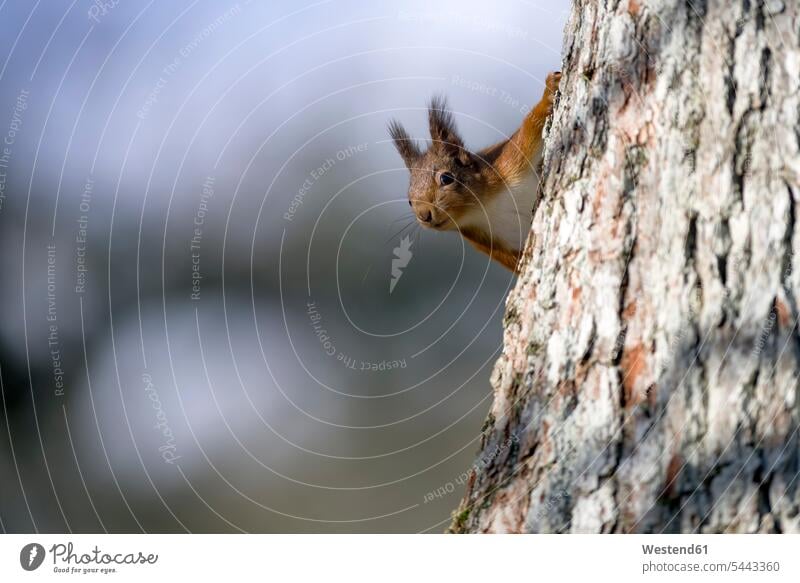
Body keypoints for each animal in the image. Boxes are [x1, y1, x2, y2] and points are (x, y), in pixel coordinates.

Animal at [390, 72, 560, 272]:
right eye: (409, 200)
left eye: (446, 178)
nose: (424, 215)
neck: (482, 208)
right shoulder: (487, 242)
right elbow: (517, 263)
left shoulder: (509, 162)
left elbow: (529, 129)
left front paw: (548, 93)